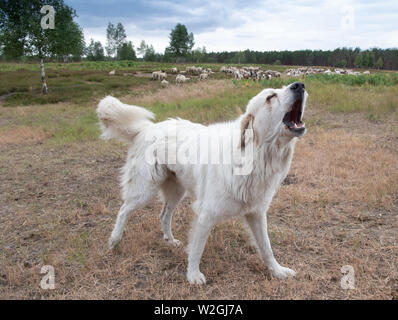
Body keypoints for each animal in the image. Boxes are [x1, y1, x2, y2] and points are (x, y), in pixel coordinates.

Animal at [96, 82, 308, 284]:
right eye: (270, 97)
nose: (300, 85)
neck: (253, 156)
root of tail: (145, 130)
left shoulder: (256, 213)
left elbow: (266, 248)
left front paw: (278, 271)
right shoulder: (206, 214)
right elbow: (197, 249)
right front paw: (193, 276)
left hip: (176, 191)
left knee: (164, 215)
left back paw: (170, 241)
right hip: (144, 191)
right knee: (124, 210)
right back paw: (114, 241)